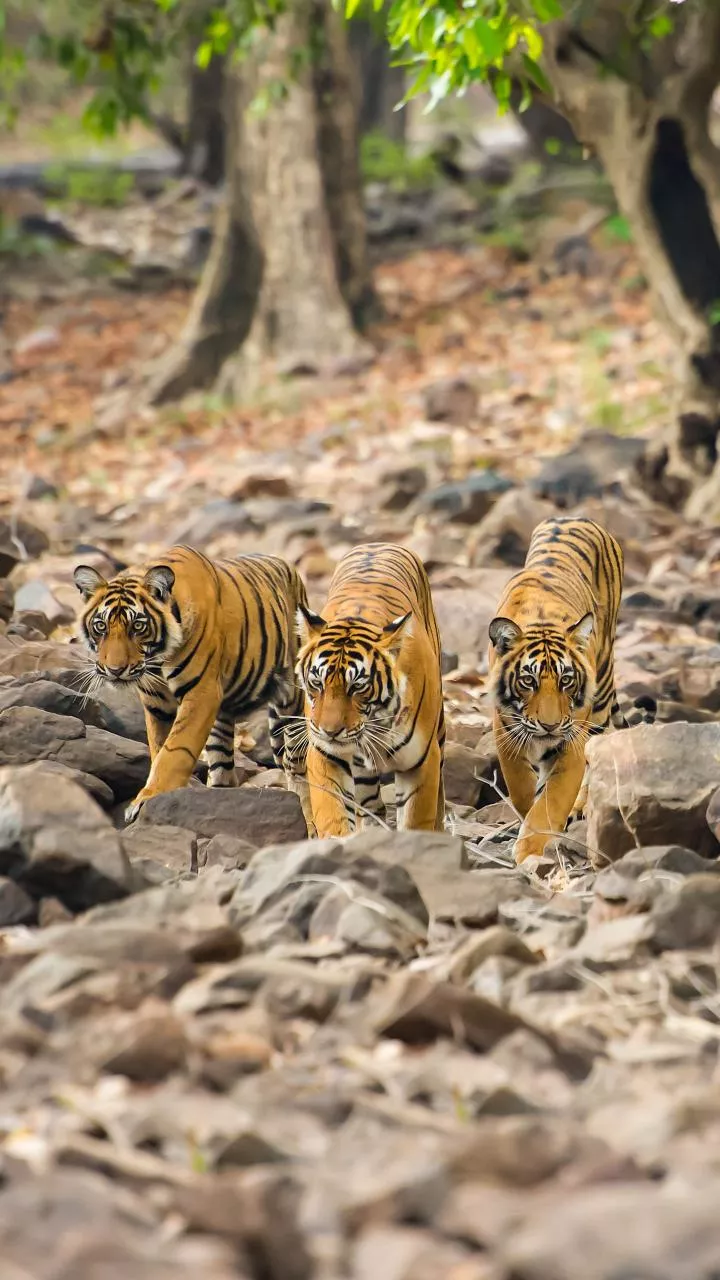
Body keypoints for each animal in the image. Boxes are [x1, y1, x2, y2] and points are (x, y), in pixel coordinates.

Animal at [73, 544, 308, 822]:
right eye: (101, 626)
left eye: (138, 626)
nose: (115, 670)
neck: (157, 659)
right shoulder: (156, 703)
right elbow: (159, 747)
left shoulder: (201, 694)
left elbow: (175, 750)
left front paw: (150, 796)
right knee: (222, 765)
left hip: (290, 703)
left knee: (297, 763)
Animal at [291, 542, 446, 838]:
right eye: (317, 683)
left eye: (357, 687)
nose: (330, 731)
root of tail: (379, 543)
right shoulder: (325, 755)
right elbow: (333, 814)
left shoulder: (421, 763)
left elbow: (415, 819)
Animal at [487, 515, 652, 865]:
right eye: (528, 681)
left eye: (566, 680)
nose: (549, 725)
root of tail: (575, 517)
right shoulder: (505, 731)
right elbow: (522, 788)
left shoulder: (571, 739)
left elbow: (551, 800)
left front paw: (530, 850)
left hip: (600, 697)